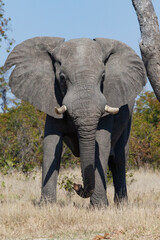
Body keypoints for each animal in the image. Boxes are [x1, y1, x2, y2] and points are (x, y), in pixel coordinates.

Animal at [4, 36, 146, 207]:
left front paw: (98, 208)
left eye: (103, 77)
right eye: (62, 78)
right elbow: (51, 144)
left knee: (119, 159)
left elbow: (101, 144)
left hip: (129, 116)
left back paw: (121, 205)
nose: (76, 185)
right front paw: (46, 205)